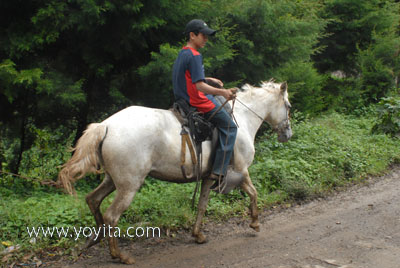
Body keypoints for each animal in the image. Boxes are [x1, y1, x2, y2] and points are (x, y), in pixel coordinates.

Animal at [57, 80, 292, 264]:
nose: (287, 134)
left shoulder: (209, 177)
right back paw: (119, 255)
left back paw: (95, 238)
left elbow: (202, 205)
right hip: (129, 186)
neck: (242, 120)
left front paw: (198, 235)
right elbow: (254, 193)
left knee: (93, 199)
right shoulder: (241, 171)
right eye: (288, 106)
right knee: (111, 216)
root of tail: (105, 126)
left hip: (113, 180)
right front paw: (255, 222)